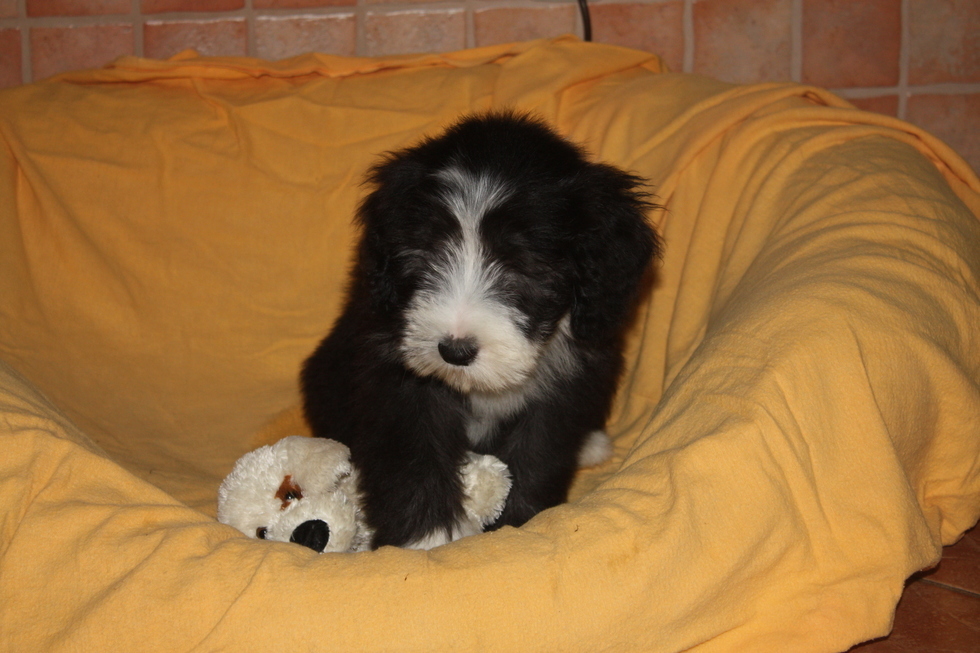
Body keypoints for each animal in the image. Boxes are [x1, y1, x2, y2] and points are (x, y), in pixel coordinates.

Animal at [302, 113, 660, 549]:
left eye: (524, 267)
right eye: (426, 255)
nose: (455, 351)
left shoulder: (570, 375)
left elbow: (538, 450)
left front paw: (514, 527)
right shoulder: (393, 371)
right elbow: (413, 448)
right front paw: (428, 537)